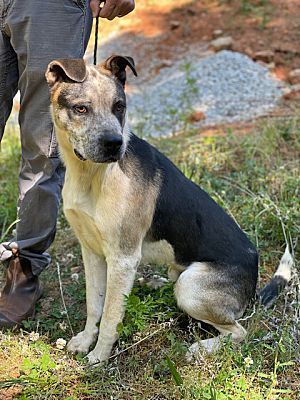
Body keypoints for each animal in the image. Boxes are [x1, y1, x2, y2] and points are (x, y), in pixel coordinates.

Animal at [45, 54, 292, 364]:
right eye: (81, 108)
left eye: (119, 107)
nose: (115, 144)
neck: (92, 176)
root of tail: (253, 285)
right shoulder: (91, 251)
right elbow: (95, 305)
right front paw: (86, 340)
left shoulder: (122, 258)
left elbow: (112, 315)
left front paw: (99, 356)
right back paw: (157, 284)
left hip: (191, 287)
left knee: (239, 331)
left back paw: (202, 347)